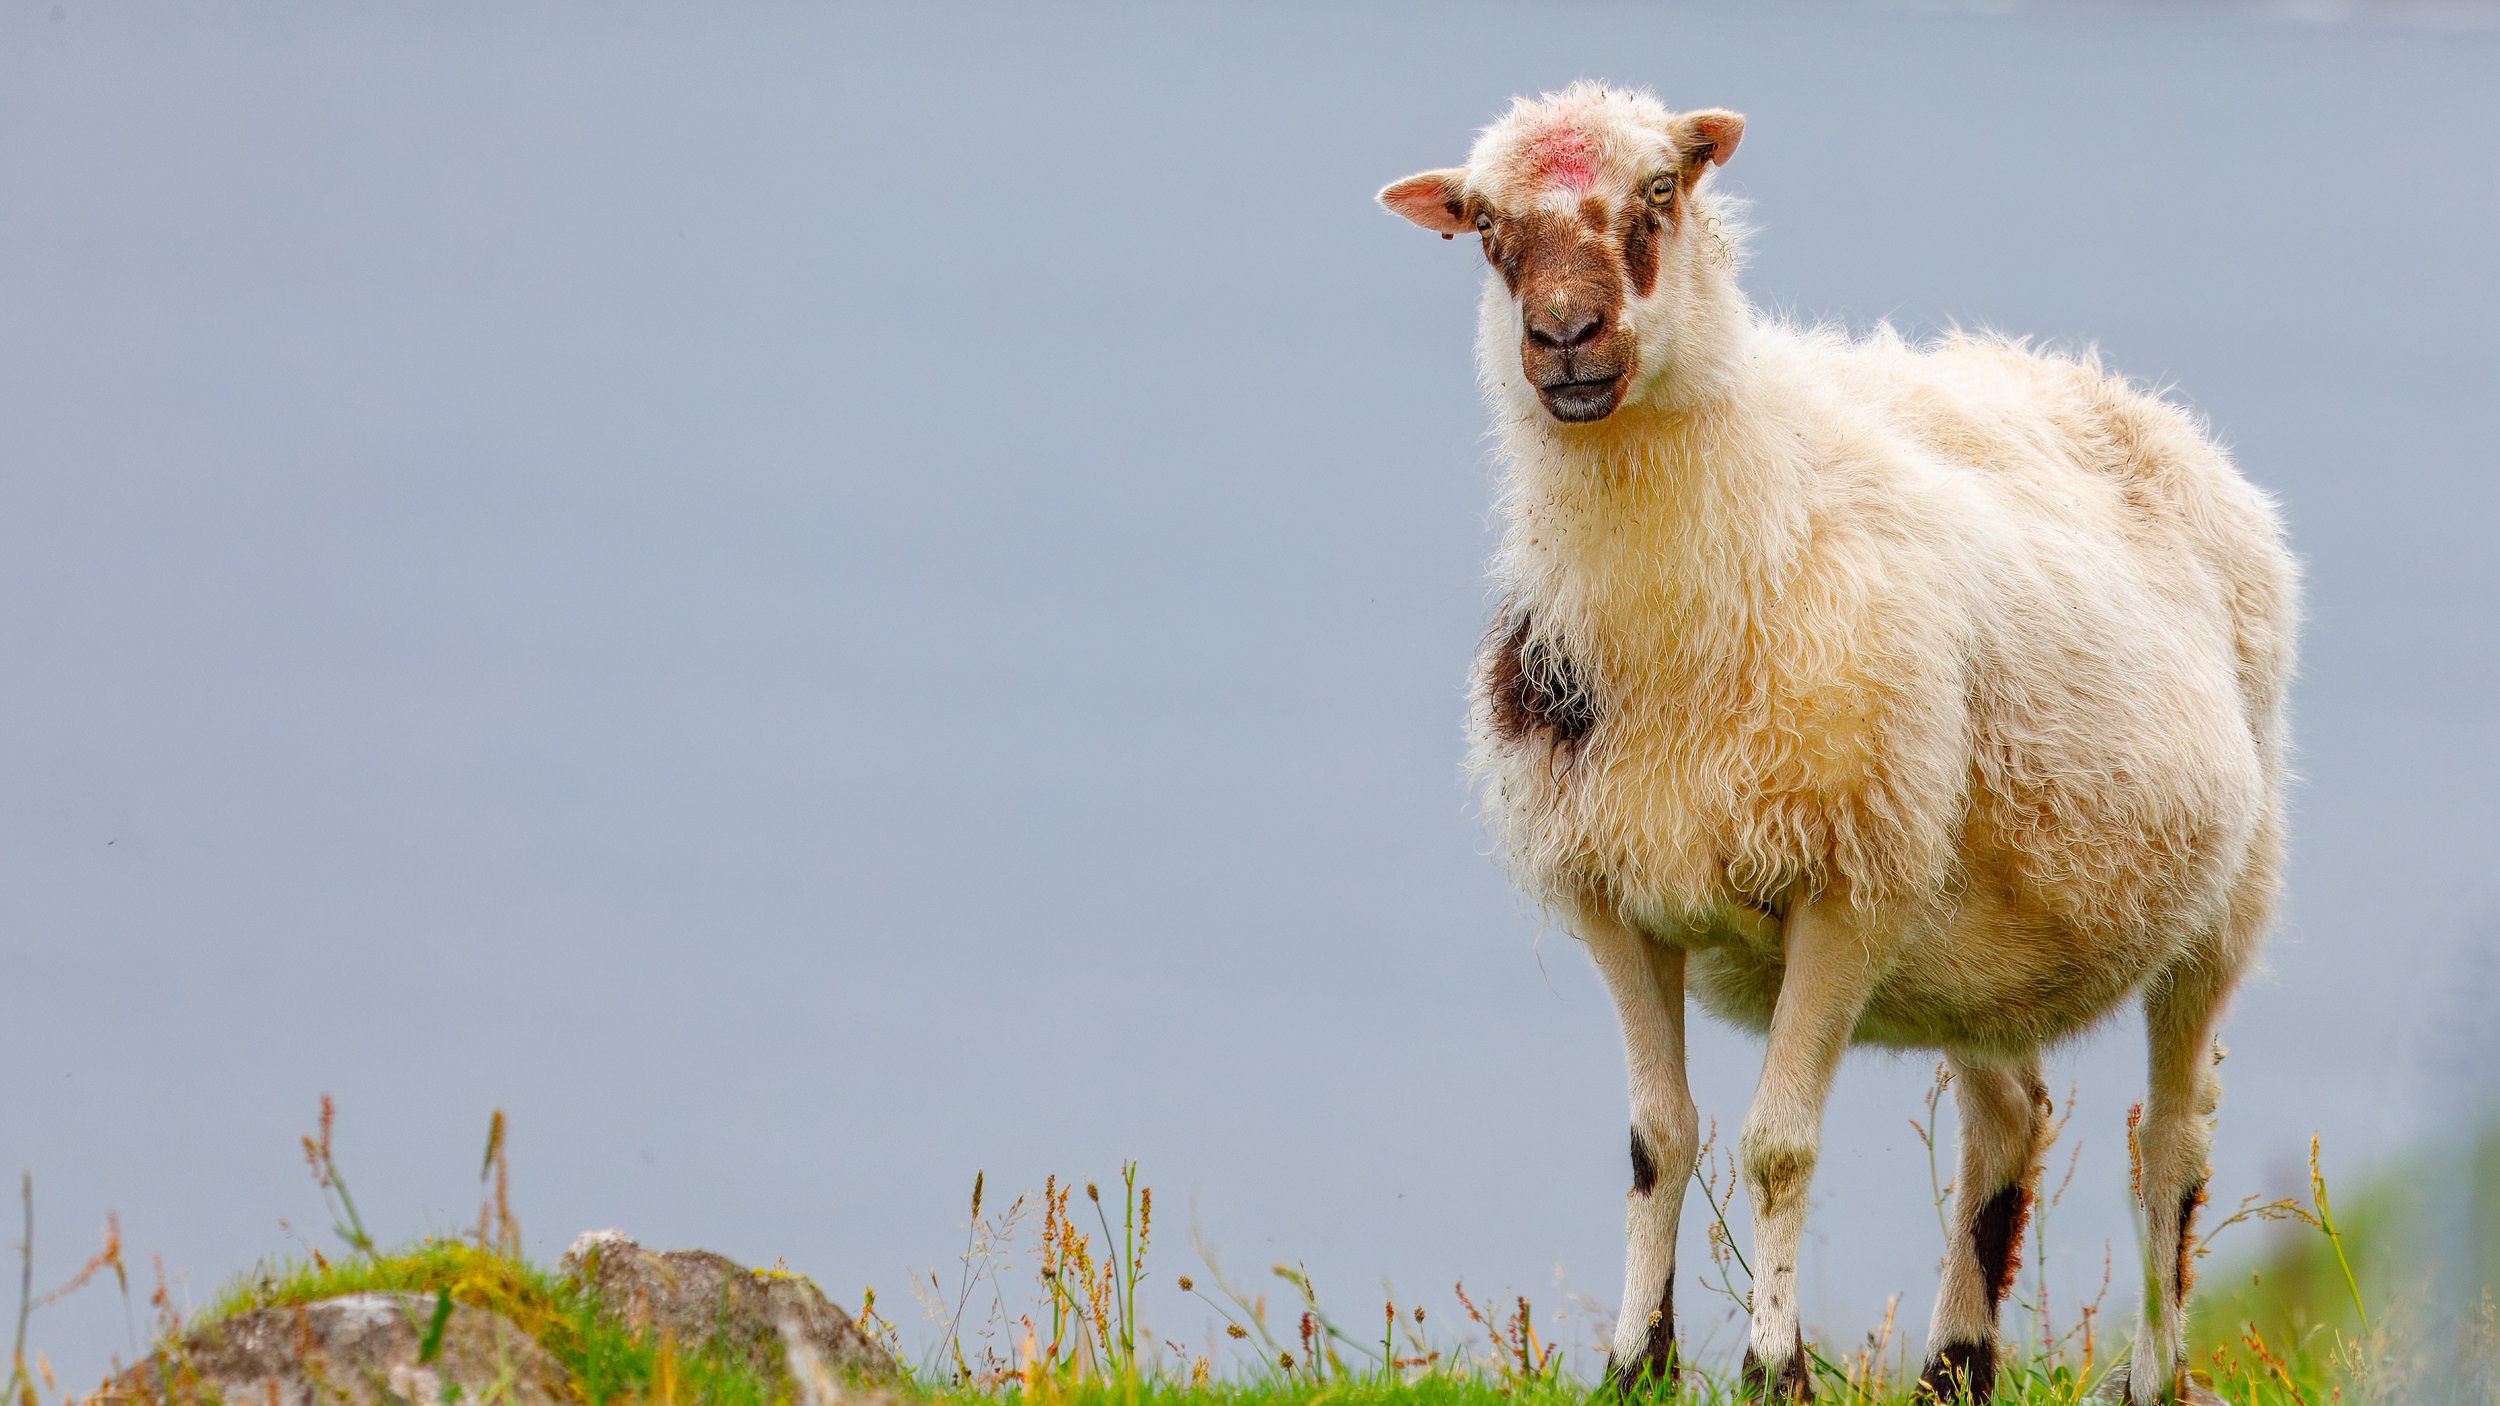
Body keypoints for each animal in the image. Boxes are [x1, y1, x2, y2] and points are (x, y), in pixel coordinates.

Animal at [1378, 83, 2296, 1406]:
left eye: (1661, 189)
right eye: (1486, 223)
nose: (1562, 337)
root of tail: (2114, 390)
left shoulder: (1847, 890)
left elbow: (1775, 1145)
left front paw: (1776, 1367)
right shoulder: (1614, 895)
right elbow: (1658, 1138)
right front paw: (1635, 1361)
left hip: (2222, 897)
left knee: (2170, 1143)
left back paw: (2151, 1375)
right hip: (1977, 933)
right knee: (2009, 1116)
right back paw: (1955, 1364)